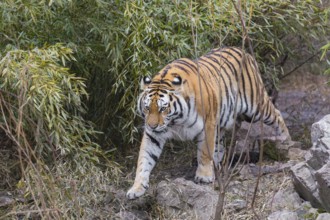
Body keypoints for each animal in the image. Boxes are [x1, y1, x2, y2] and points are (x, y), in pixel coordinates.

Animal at [126, 46, 292, 199]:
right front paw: (137, 187)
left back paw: (286, 141)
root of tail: (244, 52)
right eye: (147, 108)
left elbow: (205, 152)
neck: (175, 120)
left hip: (256, 106)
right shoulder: (153, 135)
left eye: (163, 108)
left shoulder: (208, 124)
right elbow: (144, 159)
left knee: (277, 114)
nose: (152, 125)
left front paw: (204, 176)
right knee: (219, 146)